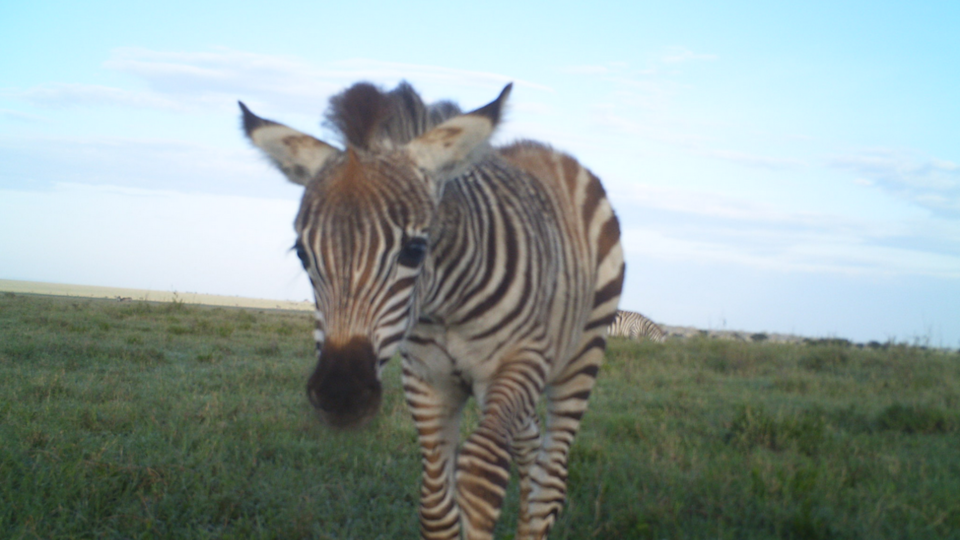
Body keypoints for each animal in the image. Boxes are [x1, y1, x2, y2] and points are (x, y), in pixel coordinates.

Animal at [240, 81, 624, 540]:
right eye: (302, 254)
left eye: (415, 250)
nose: (340, 396)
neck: (445, 307)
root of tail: (545, 151)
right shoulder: (426, 378)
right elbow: (436, 507)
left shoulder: (519, 361)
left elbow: (479, 475)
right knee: (529, 445)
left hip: (581, 354)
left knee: (549, 478)